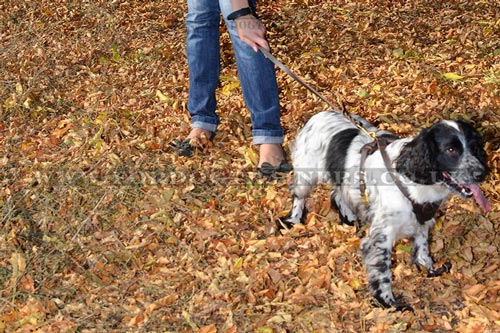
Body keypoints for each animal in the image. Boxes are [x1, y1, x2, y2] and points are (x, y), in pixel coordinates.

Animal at [284, 111, 490, 308]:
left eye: (474, 147)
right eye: (451, 150)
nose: (482, 173)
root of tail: (317, 115)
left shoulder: (423, 219)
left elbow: (423, 246)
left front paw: (429, 268)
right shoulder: (381, 238)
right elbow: (382, 272)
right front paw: (389, 303)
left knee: (336, 193)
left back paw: (350, 218)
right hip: (306, 176)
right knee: (299, 196)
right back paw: (293, 220)